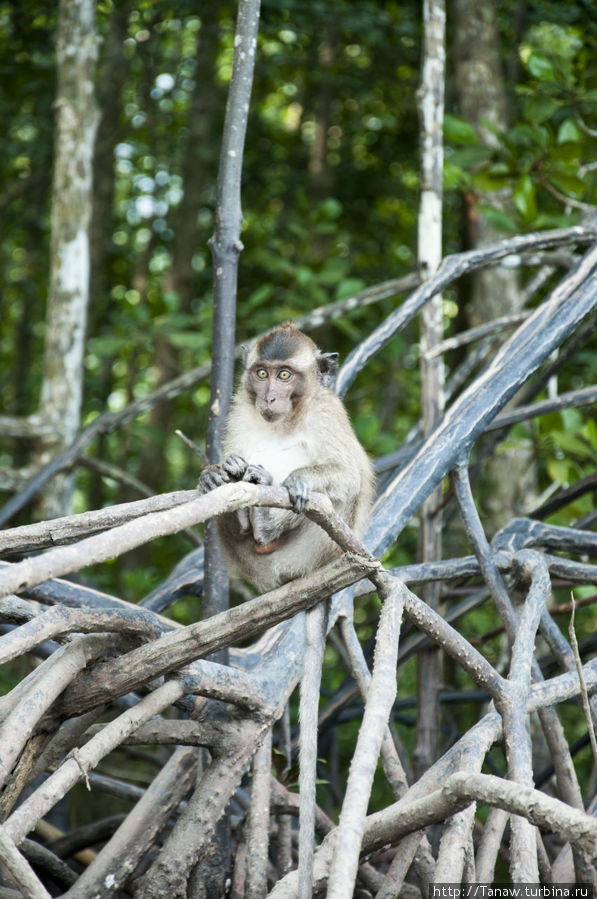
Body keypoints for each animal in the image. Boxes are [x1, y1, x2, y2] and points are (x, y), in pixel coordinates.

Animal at [199, 320, 372, 596]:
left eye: (284, 375)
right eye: (262, 374)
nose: (269, 397)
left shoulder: (327, 411)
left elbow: (349, 475)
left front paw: (298, 480)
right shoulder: (241, 408)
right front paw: (215, 472)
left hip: (312, 555)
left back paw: (266, 525)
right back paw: (240, 518)